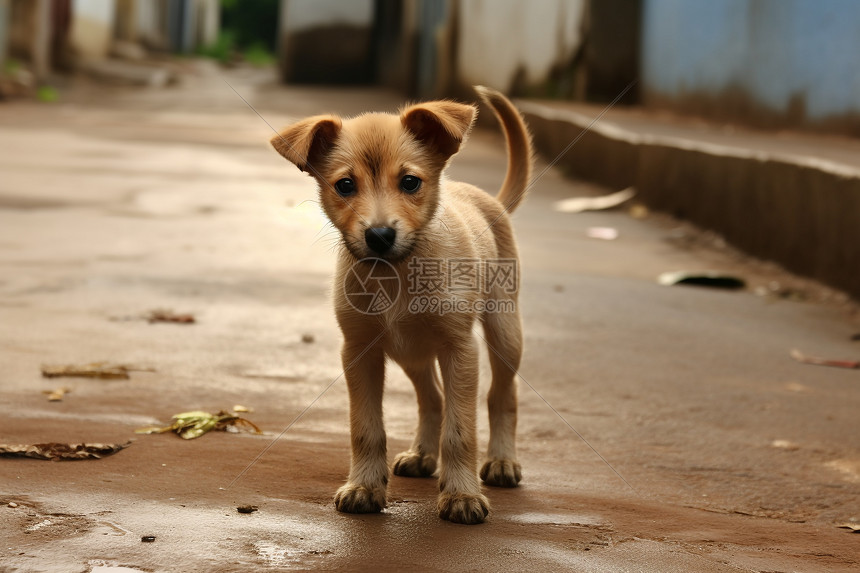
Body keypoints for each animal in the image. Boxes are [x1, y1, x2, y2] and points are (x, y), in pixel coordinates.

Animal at [272, 86, 536, 524]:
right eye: (345, 185)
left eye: (410, 182)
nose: (379, 235)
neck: (396, 273)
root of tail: (487, 199)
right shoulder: (360, 350)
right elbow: (365, 428)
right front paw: (364, 486)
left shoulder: (460, 349)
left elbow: (461, 430)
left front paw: (462, 494)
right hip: (410, 352)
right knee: (432, 398)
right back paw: (422, 455)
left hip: (504, 331)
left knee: (502, 395)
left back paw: (502, 461)